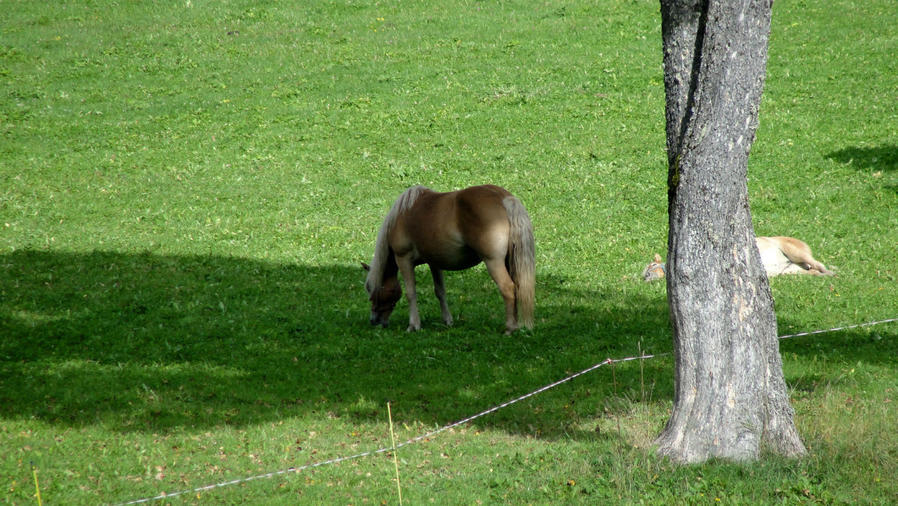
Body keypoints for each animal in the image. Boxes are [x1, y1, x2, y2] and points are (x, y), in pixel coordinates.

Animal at [362, 184, 532, 334]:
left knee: (508, 289)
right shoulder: (434, 263)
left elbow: (411, 293)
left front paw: (413, 325)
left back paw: (509, 328)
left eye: (370, 288)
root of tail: (503, 198)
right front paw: (447, 321)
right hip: (509, 262)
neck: (402, 216)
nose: (373, 320)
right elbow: (440, 291)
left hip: (493, 262)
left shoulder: (403, 259)